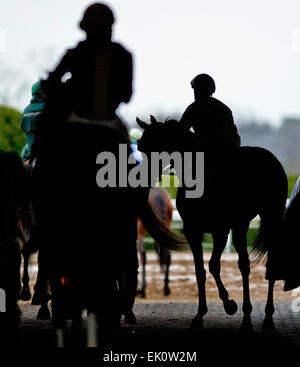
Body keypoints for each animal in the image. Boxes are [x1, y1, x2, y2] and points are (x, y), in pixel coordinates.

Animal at [137, 115, 288, 330]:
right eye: (142, 145)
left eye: (151, 145)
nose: (140, 177)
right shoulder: (204, 231)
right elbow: (204, 268)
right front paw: (210, 311)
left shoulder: (211, 230)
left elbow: (210, 266)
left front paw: (227, 305)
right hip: (257, 221)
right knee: (252, 263)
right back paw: (260, 316)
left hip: (259, 219)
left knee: (251, 263)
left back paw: (258, 315)